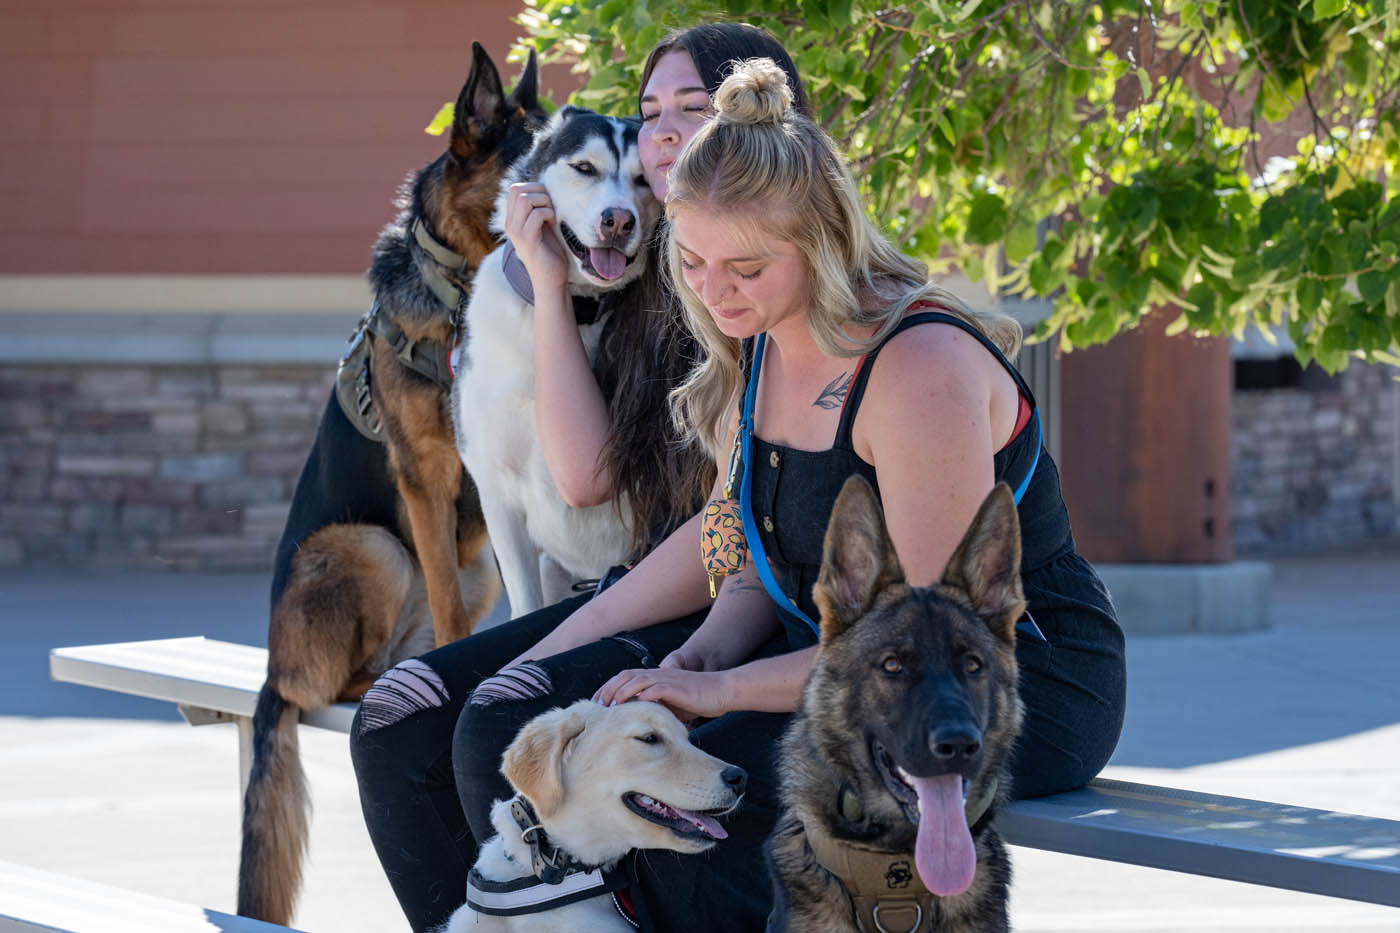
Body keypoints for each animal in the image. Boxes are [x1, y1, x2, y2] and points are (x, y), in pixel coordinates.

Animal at [238, 45, 543, 924]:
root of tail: (268, 670)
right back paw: (383, 676)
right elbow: (441, 591)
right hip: (372, 546)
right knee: (344, 670)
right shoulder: (427, 477)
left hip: (474, 566)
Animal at [453, 109, 660, 613]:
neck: (567, 314)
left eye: (644, 179)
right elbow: (524, 603)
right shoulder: (495, 492)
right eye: (584, 167)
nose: (618, 221)